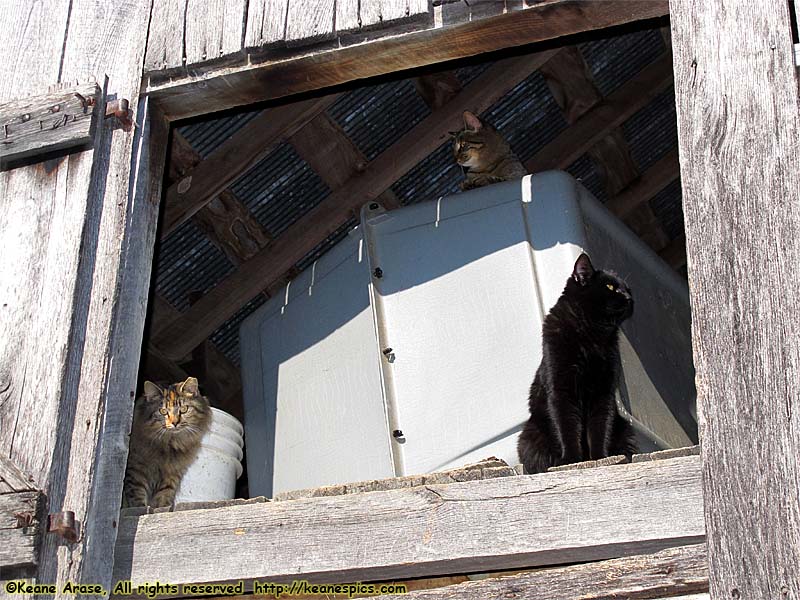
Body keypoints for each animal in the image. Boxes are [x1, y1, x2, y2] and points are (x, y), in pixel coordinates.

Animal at [120, 378, 211, 508]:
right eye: (163, 411)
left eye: (183, 409)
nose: (175, 423)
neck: (170, 443)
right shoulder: (136, 470)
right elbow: (137, 494)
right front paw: (141, 507)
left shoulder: (172, 473)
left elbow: (164, 495)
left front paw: (162, 507)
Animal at [520, 253, 636, 474]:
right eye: (610, 287)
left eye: (627, 289)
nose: (629, 297)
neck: (592, 336)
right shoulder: (561, 390)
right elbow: (567, 427)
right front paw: (571, 459)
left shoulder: (603, 393)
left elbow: (600, 428)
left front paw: (600, 457)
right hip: (529, 436)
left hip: (626, 429)